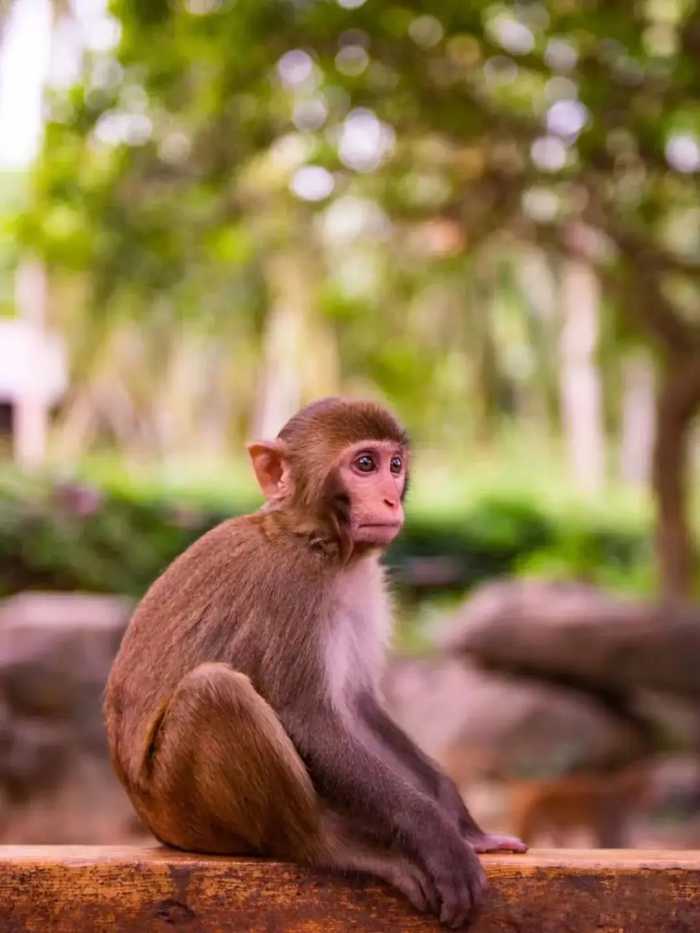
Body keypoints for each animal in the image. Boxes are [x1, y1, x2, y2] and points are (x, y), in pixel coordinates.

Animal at [105, 396, 524, 928]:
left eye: (394, 465)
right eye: (364, 464)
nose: (390, 501)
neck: (319, 542)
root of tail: (150, 819)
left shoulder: (365, 585)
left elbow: (356, 706)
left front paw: (462, 822)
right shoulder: (292, 585)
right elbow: (309, 717)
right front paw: (438, 838)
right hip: (182, 812)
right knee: (217, 691)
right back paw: (333, 847)